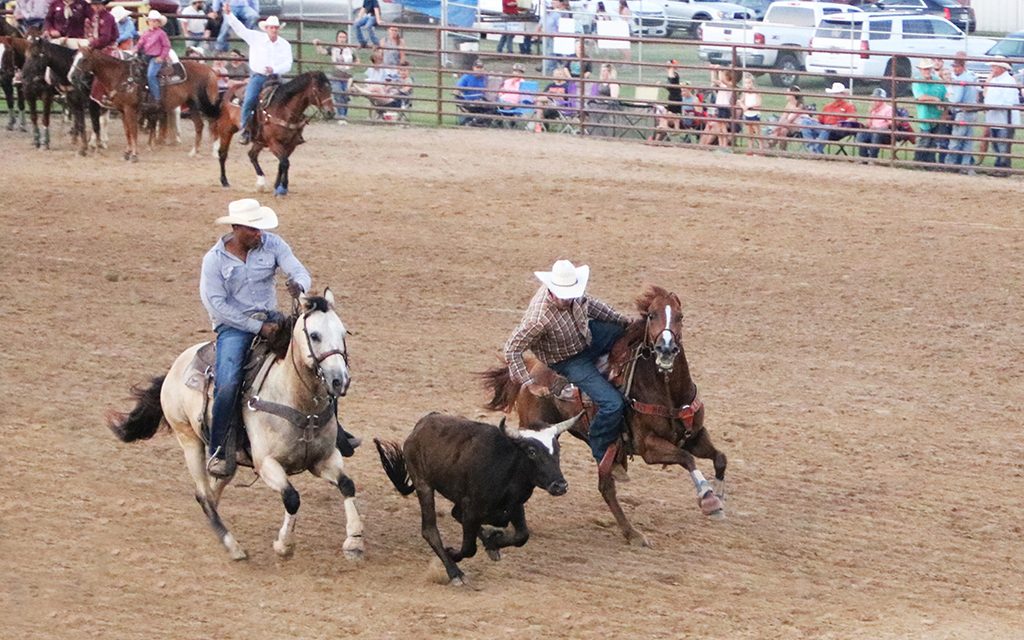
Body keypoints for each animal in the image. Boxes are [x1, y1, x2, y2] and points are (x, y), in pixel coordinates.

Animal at [107, 288, 362, 557]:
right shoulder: (266, 463)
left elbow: (347, 485)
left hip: (228, 458)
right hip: (188, 439)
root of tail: (174, 369)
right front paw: (284, 544)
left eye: (343, 333)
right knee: (203, 494)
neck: (298, 402)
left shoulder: (323, 458)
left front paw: (354, 540)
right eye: (314, 335)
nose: (339, 380)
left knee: (213, 489)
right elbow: (292, 497)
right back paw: (233, 546)